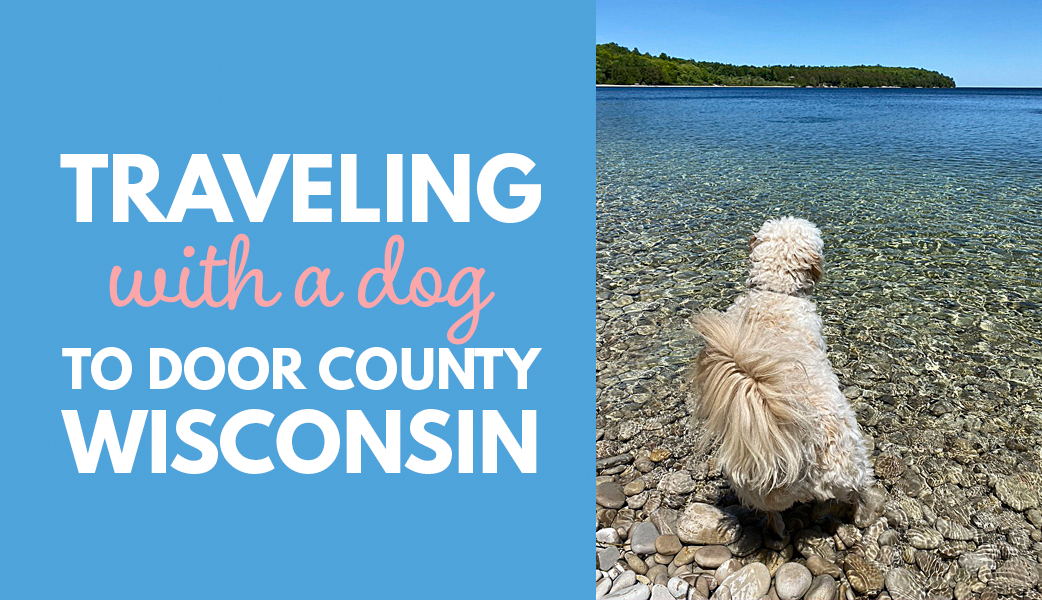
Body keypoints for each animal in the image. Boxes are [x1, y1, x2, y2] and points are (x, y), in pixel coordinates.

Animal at [691, 217, 871, 537]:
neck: (774, 293)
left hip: (760, 491)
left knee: (773, 515)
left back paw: (779, 533)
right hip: (854, 463)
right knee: (858, 495)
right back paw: (864, 513)